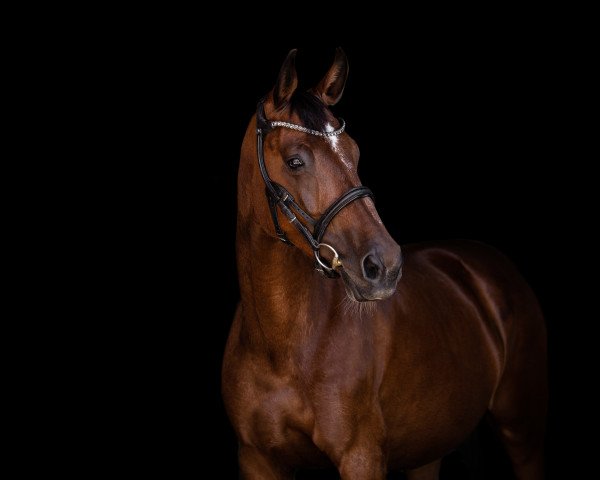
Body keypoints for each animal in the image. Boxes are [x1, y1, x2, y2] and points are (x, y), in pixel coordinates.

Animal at [223, 47, 548, 478]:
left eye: (355, 152)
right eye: (295, 161)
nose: (386, 266)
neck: (283, 348)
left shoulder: (361, 457)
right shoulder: (256, 459)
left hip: (522, 431)